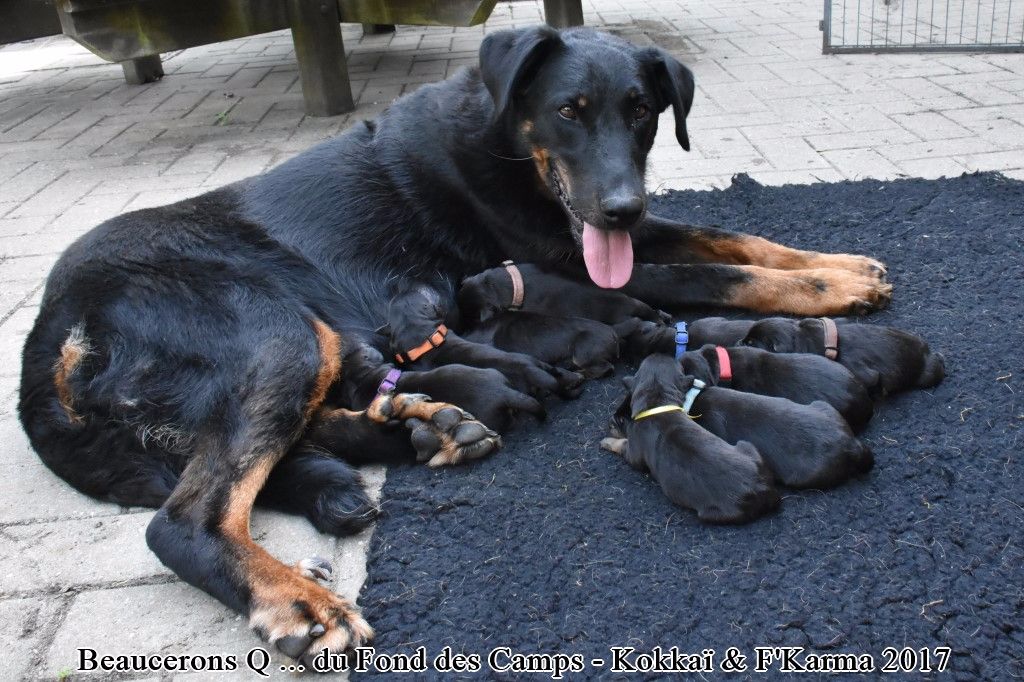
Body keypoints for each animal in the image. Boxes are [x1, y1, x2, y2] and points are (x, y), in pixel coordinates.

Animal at [602, 354, 778, 523]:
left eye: (622, 420)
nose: (610, 423)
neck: (657, 402)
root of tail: (762, 488)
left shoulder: (634, 451)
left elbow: (623, 446)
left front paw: (606, 442)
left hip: (713, 513)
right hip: (747, 446)